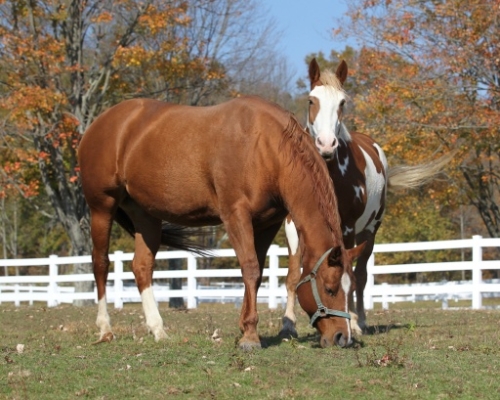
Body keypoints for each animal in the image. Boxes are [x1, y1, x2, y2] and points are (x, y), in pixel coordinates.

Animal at [80, 95, 366, 348]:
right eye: (330, 288)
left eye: (349, 288)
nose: (342, 337)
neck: (264, 146)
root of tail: (100, 123)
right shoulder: (235, 216)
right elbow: (250, 268)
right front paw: (250, 336)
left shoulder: (266, 224)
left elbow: (256, 274)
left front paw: (245, 327)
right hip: (102, 207)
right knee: (101, 264)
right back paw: (105, 329)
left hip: (145, 214)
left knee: (142, 267)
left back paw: (158, 330)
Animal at [282, 57, 450, 336]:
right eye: (311, 100)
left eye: (342, 103)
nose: (326, 145)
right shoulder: (293, 224)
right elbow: (294, 275)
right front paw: (288, 323)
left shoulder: (348, 229)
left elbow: (349, 274)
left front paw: (351, 321)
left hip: (370, 231)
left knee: (360, 276)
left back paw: (360, 320)